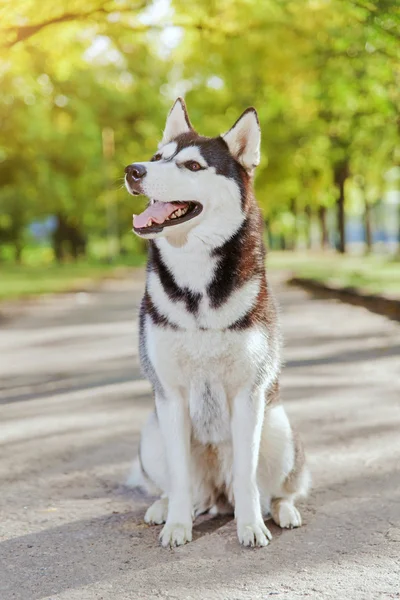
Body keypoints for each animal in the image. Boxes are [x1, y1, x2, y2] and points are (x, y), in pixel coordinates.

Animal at [124, 98, 310, 548]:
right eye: (157, 157)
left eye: (192, 166)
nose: (133, 170)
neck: (196, 285)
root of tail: (217, 497)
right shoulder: (170, 398)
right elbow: (179, 475)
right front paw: (176, 525)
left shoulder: (248, 393)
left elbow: (247, 476)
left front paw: (251, 526)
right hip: (151, 432)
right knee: (184, 489)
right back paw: (165, 508)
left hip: (279, 427)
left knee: (276, 489)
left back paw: (282, 510)